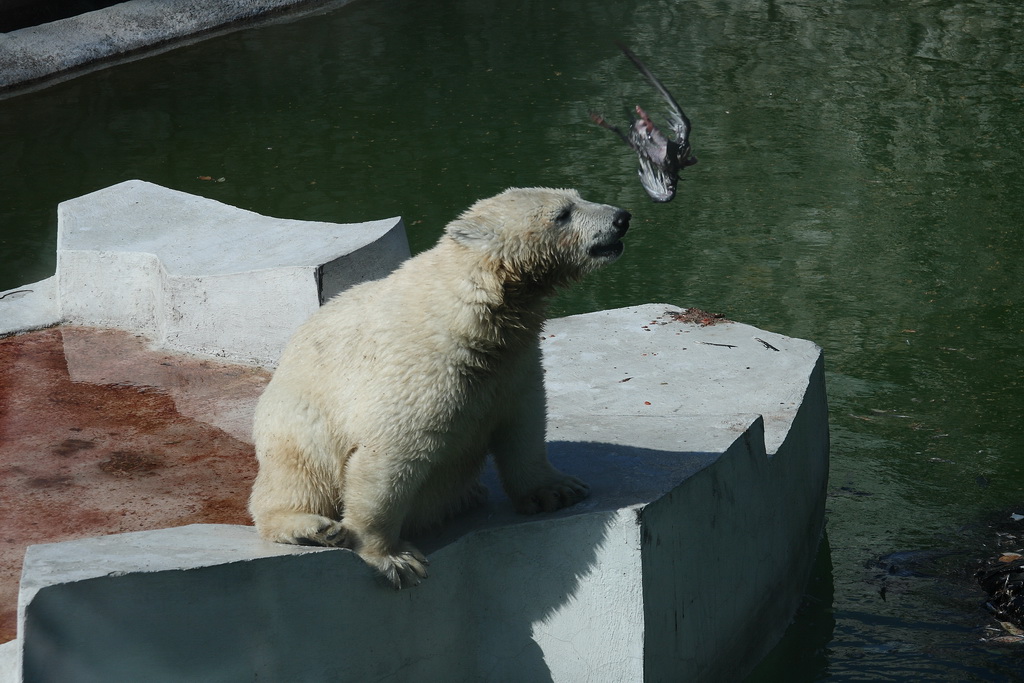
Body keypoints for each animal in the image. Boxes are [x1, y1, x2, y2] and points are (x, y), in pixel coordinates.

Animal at [248, 187, 630, 589]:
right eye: (562, 214)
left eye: (577, 197)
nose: (622, 217)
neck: (475, 314)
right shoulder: (425, 371)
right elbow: (390, 455)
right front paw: (393, 558)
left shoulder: (514, 363)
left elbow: (524, 423)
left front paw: (557, 490)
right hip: (297, 422)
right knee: (298, 473)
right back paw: (312, 527)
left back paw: (468, 495)